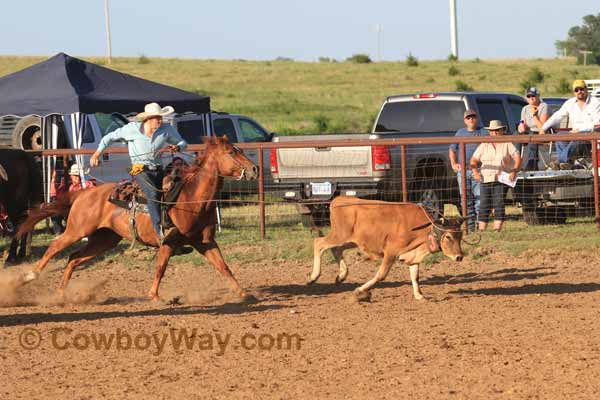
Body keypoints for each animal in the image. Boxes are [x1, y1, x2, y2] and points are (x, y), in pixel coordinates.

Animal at [17, 138, 258, 304]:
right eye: (231, 152)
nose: (254, 169)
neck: (191, 198)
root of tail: (85, 193)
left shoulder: (205, 242)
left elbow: (224, 267)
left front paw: (244, 293)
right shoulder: (168, 242)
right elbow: (161, 267)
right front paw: (155, 296)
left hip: (105, 239)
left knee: (74, 258)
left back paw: (61, 294)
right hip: (77, 229)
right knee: (56, 246)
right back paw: (30, 275)